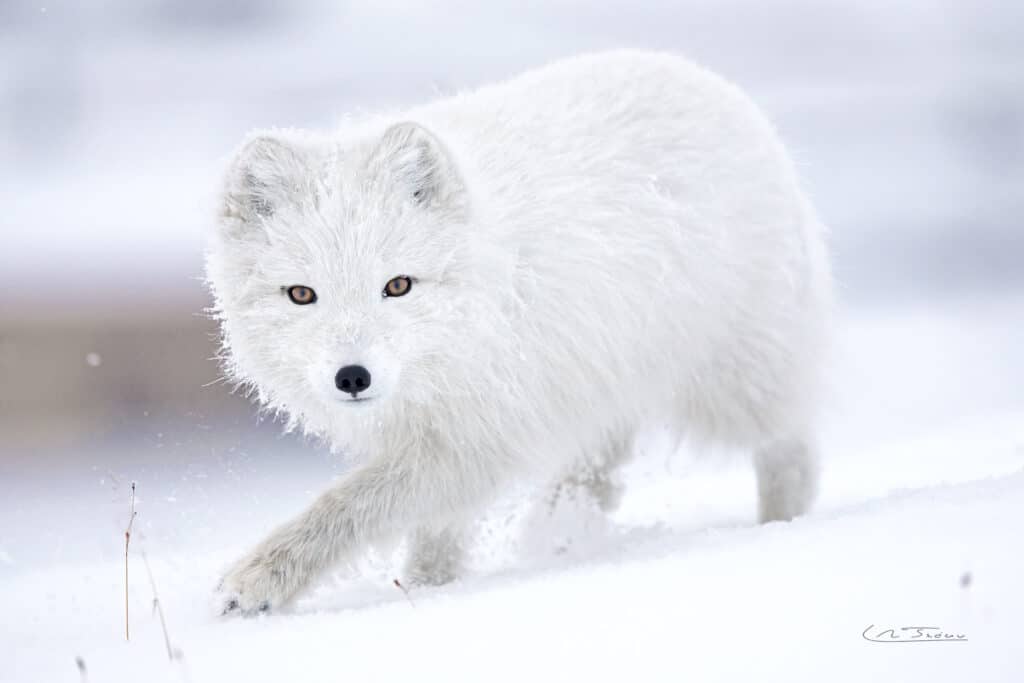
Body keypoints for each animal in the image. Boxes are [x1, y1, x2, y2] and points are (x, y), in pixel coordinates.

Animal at [206, 50, 832, 615]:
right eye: (301, 294)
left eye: (398, 286)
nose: (352, 377)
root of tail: (716, 84)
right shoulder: (452, 431)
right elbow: (430, 530)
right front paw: (430, 587)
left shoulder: (478, 438)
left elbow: (353, 504)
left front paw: (257, 579)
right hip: (603, 371)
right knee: (606, 452)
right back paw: (561, 525)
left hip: (733, 377)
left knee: (791, 443)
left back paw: (783, 526)